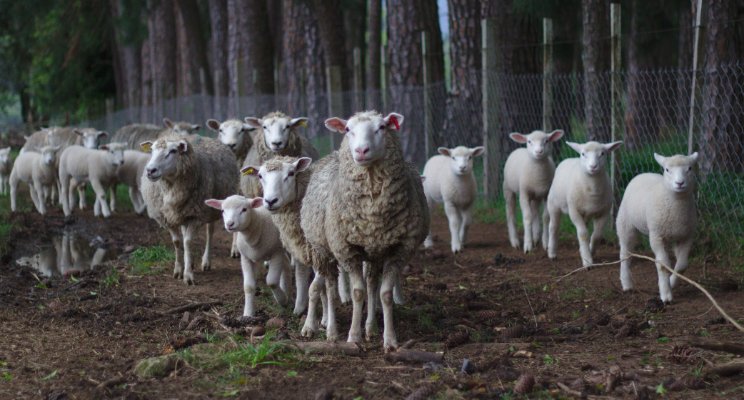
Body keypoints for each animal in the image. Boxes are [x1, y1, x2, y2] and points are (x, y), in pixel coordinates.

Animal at [141, 134, 237, 284]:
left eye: (173, 151)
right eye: (151, 150)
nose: (150, 171)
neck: (171, 189)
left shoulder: (195, 215)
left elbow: (188, 242)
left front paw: (188, 275)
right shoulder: (167, 217)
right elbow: (177, 242)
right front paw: (178, 269)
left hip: (211, 208)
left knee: (209, 232)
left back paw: (206, 261)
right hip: (182, 213)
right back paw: (190, 262)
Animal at [241, 155, 338, 334]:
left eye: (291, 173)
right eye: (260, 176)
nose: (270, 201)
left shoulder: (321, 253)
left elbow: (314, 288)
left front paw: (309, 325)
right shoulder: (307, 250)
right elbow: (310, 283)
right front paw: (318, 317)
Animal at [300, 111, 428, 350]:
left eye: (382, 127)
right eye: (348, 129)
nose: (361, 151)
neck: (372, 214)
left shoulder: (399, 250)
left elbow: (384, 294)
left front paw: (389, 340)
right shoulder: (347, 250)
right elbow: (357, 293)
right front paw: (353, 337)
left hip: (374, 253)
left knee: (371, 285)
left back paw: (371, 327)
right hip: (324, 250)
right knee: (330, 288)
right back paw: (331, 330)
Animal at [612, 152, 700, 304]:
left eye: (689, 168)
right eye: (667, 170)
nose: (680, 183)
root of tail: (643, 174)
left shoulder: (686, 236)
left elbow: (682, 265)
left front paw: (671, 283)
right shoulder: (656, 235)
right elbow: (663, 264)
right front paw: (666, 295)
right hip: (625, 224)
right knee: (625, 254)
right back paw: (627, 283)